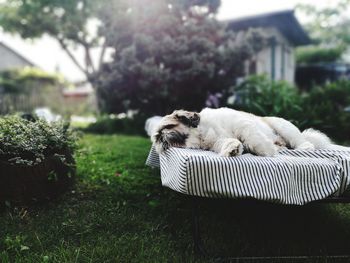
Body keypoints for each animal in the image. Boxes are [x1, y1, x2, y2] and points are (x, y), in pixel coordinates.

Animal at [150, 107, 344, 157]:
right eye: (157, 138)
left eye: (166, 129)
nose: (160, 140)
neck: (201, 134)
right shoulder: (219, 141)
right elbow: (229, 142)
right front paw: (233, 149)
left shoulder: (241, 124)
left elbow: (252, 138)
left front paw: (265, 150)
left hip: (284, 127)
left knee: (304, 142)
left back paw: (302, 148)